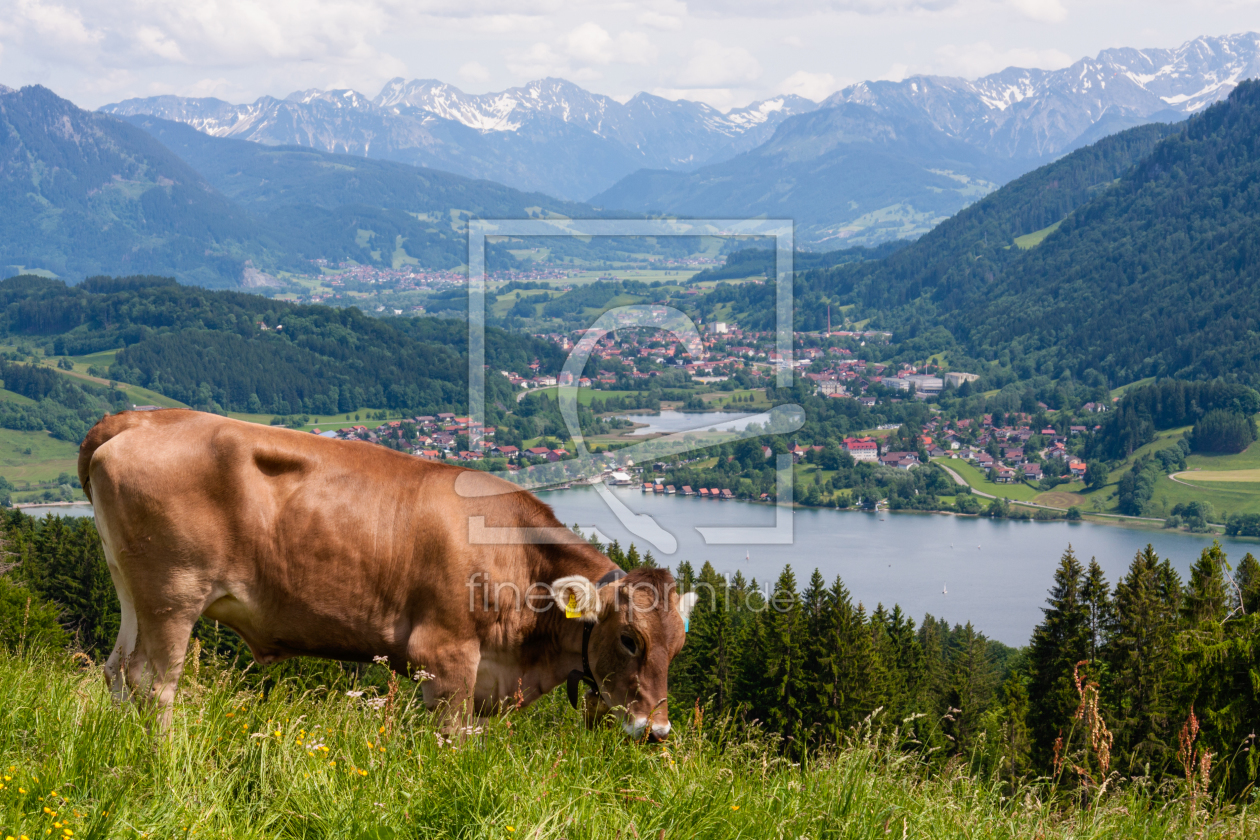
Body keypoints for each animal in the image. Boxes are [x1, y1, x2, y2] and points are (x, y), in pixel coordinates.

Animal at [78, 410, 700, 740]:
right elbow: (450, 745)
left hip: (130, 589)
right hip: (173, 594)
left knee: (116, 670)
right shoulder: (446, 656)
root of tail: (140, 417)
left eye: (678, 646)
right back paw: (162, 756)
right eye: (629, 639)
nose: (657, 732)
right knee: (153, 683)